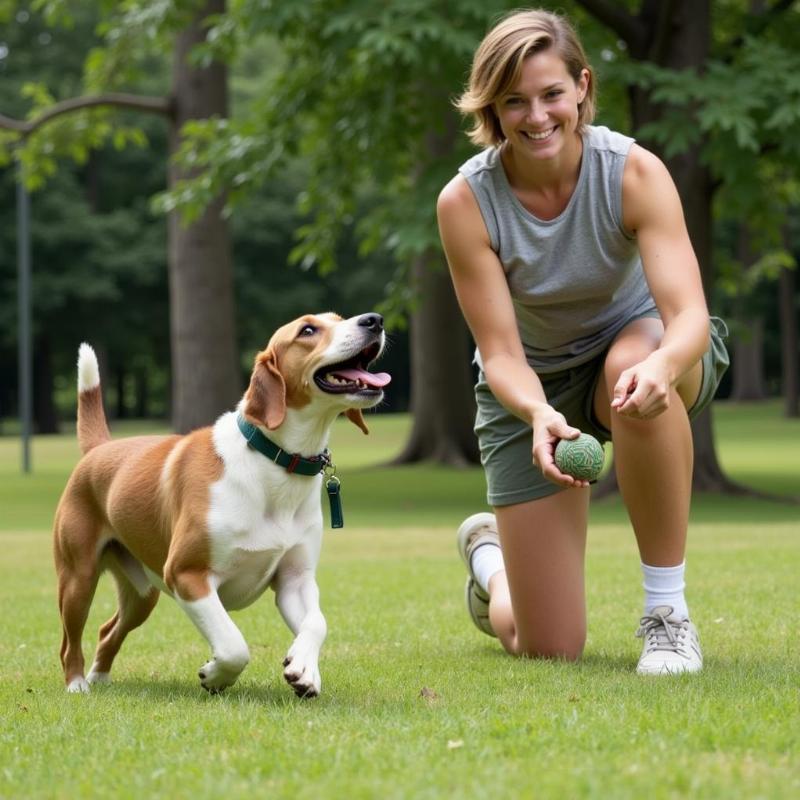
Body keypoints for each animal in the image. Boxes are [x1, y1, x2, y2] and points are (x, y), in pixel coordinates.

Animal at [53, 312, 390, 700]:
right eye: (307, 330)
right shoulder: (187, 574)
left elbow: (317, 622)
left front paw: (305, 670)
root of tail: (99, 448)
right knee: (69, 641)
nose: (374, 320)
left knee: (108, 630)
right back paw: (77, 684)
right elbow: (233, 645)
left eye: (338, 318)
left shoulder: (295, 579)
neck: (274, 462)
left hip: (141, 592)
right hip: (78, 578)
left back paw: (100, 678)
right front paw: (215, 675)